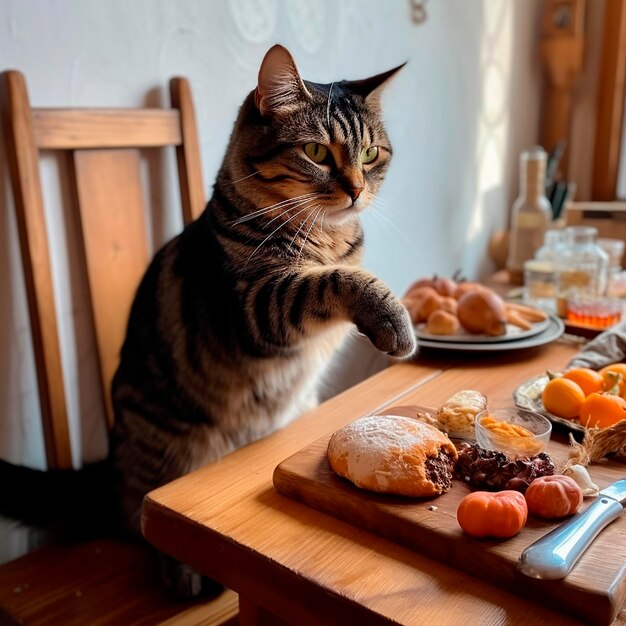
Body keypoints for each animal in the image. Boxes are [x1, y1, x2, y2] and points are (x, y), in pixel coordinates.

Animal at [1, 45, 414, 596]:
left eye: (370, 155)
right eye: (317, 153)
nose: (355, 191)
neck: (328, 238)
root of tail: (107, 465)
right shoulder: (256, 310)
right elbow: (335, 281)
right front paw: (394, 318)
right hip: (163, 450)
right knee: (142, 520)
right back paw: (183, 573)